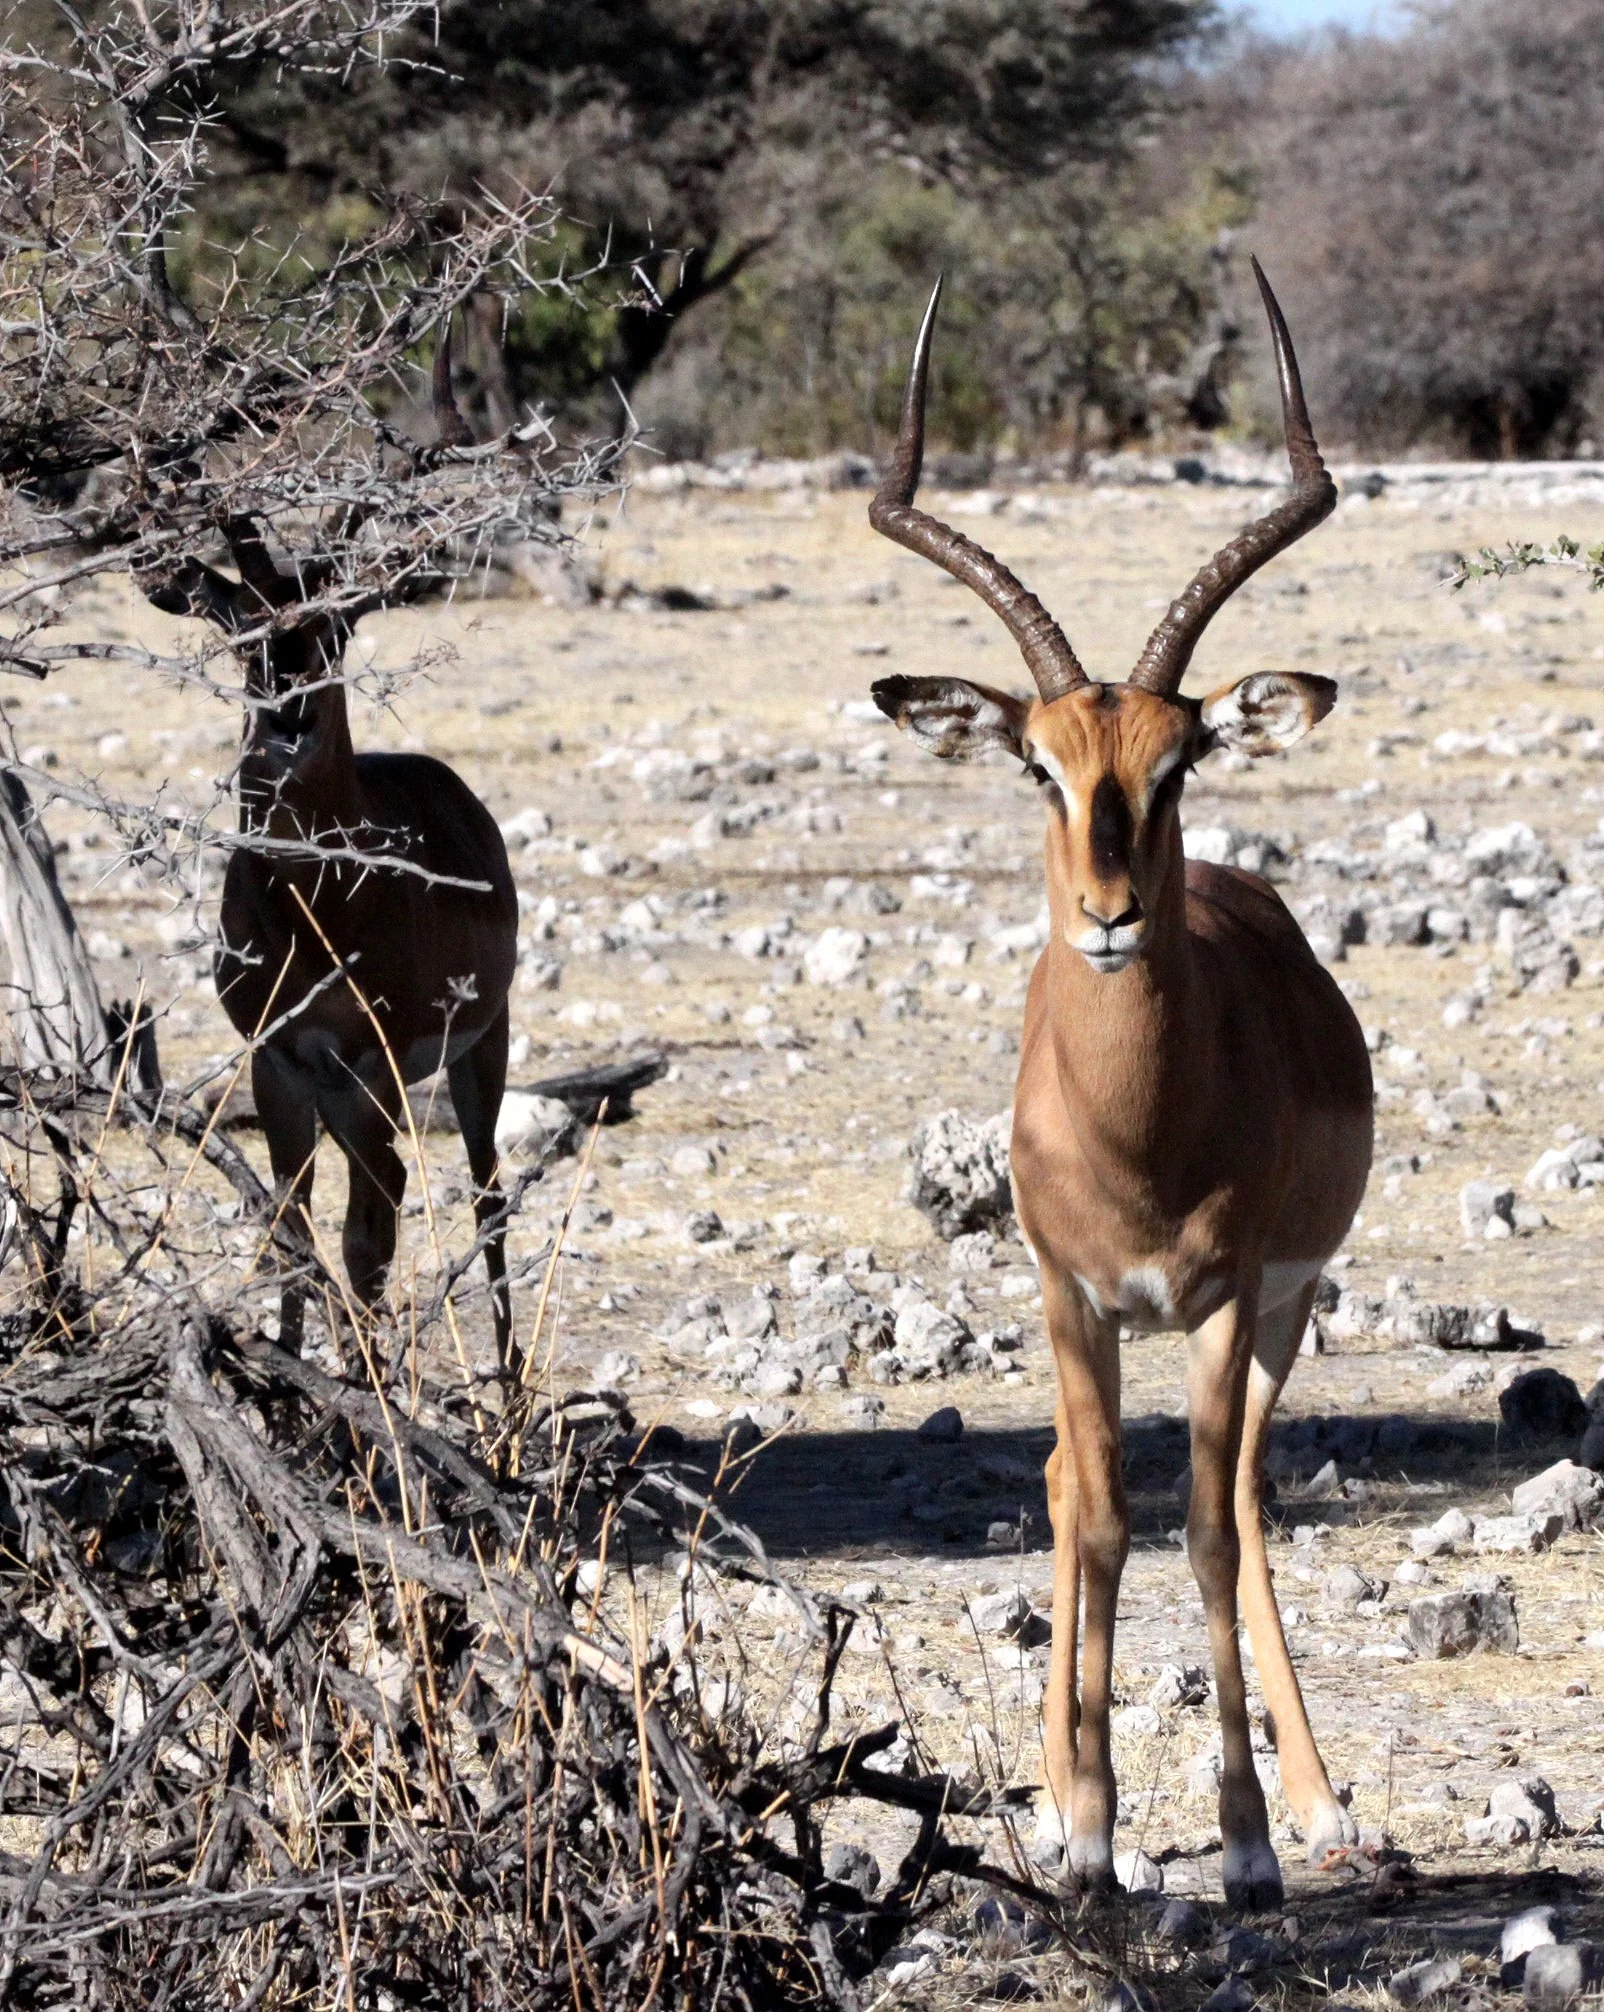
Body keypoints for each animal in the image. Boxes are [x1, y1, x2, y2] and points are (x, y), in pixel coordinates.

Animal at [153, 332, 519, 1372]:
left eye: (339, 624)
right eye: (241, 626)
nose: (287, 718)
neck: (312, 910)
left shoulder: (371, 1069)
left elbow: (367, 1237)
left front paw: (365, 1392)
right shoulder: (279, 1061)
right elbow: (289, 1226)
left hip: (484, 1046)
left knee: (486, 1194)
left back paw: (511, 1391)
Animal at [868, 263, 1372, 1910]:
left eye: (1184, 755)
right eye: (1037, 762)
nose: (1108, 912)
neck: (1140, 1138)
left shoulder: (1218, 1300)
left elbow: (1205, 1531)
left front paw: (1249, 1842)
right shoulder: (1070, 1294)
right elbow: (1094, 1522)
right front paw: (1084, 1830)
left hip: (1287, 1309)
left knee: (1251, 1502)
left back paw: (1322, 1807)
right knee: (1064, 1482)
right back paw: (1050, 1801)